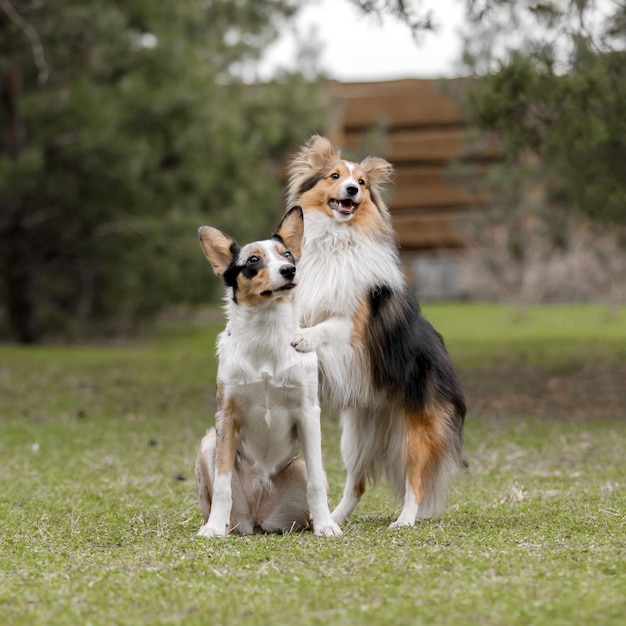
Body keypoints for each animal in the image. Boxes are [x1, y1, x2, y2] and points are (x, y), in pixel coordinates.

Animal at [195, 206, 342, 536]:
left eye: (286, 254)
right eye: (253, 260)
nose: (289, 270)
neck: (266, 331)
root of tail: (258, 518)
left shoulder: (307, 411)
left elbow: (316, 482)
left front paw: (326, 526)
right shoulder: (227, 415)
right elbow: (222, 484)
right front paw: (213, 528)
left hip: (298, 467)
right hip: (209, 442)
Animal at [286, 135, 464, 528]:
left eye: (362, 182)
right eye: (335, 176)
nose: (352, 189)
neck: (336, 240)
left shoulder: (353, 327)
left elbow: (324, 327)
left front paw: (304, 338)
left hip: (415, 434)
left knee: (415, 483)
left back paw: (405, 520)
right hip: (355, 436)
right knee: (358, 483)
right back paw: (333, 520)